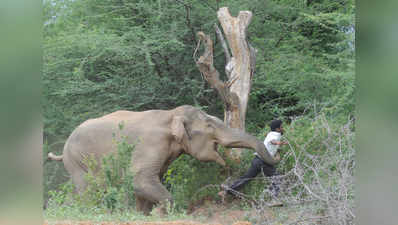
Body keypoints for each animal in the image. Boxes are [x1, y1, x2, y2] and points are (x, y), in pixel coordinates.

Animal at [48, 105, 280, 214]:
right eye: (209, 126)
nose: (276, 156)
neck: (170, 115)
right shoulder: (150, 144)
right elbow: (140, 180)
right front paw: (160, 213)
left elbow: (146, 183)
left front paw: (144, 214)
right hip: (78, 160)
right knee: (87, 190)